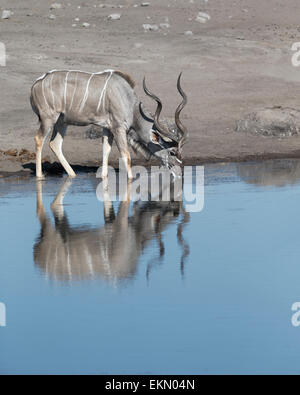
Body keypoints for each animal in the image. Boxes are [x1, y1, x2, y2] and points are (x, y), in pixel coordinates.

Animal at [31, 69, 188, 179]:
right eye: (172, 152)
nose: (179, 172)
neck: (129, 102)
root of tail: (37, 83)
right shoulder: (118, 128)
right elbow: (126, 156)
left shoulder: (107, 128)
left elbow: (106, 150)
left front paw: (104, 176)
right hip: (48, 118)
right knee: (39, 139)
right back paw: (39, 176)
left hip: (62, 121)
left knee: (55, 144)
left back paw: (73, 175)